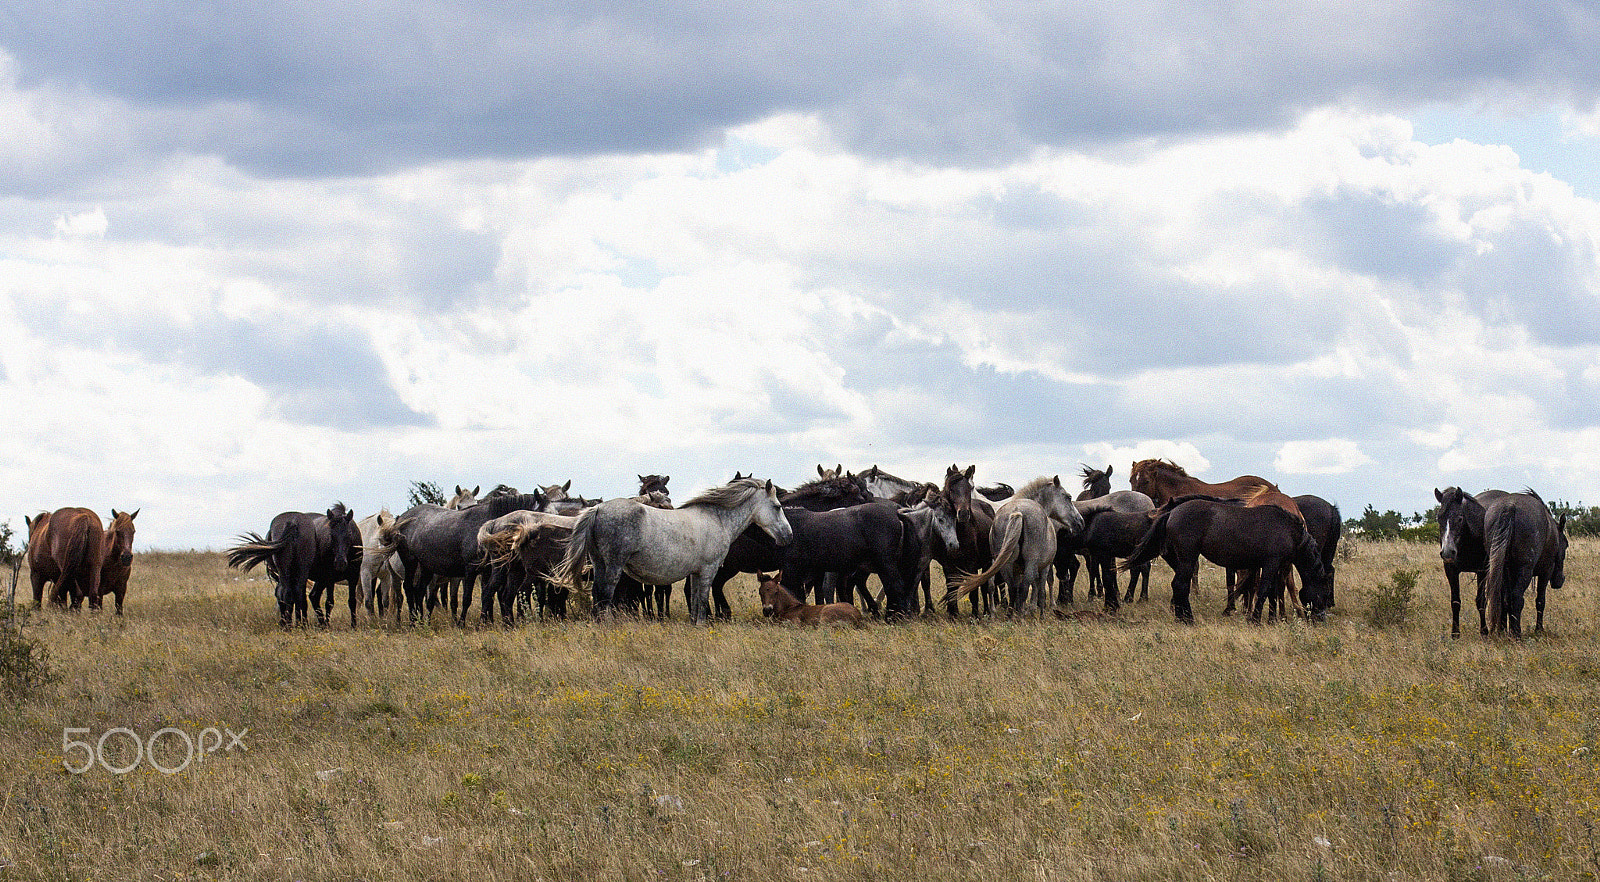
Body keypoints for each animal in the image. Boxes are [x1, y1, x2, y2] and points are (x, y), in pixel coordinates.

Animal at [228, 504, 362, 627]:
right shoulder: (330, 578)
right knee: (299, 595)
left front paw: (353, 625)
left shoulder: (353, 576)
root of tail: (292, 522)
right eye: (331, 535)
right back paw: (303, 623)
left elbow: (352, 601)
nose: (340, 563)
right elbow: (329, 602)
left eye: (349, 534)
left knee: (294, 594)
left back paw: (296, 623)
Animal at [552, 477, 793, 623]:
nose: (788, 536)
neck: (717, 519)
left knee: (597, 596)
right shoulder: (708, 571)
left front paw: (696, 625)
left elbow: (695, 601)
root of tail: (598, 509)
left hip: (600, 563)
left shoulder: (696, 573)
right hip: (613, 566)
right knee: (604, 596)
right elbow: (703, 600)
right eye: (777, 507)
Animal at [952, 476, 1084, 616]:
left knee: (1010, 587)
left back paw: (1009, 613)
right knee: (1026, 586)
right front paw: (1034, 609)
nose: (1080, 521)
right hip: (1031, 563)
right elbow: (1037, 587)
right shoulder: (1040, 566)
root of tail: (1017, 513)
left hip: (1006, 564)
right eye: (1068, 497)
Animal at [1121, 496, 1328, 624]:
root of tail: (1171, 513)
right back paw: (1188, 619)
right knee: (1180, 585)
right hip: (1188, 558)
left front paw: (1270, 619)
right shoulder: (1271, 564)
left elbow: (1271, 592)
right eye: (1323, 594)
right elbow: (1263, 590)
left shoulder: (1271, 566)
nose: (1321, 619)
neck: (1287, 529)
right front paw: (1255, 620)